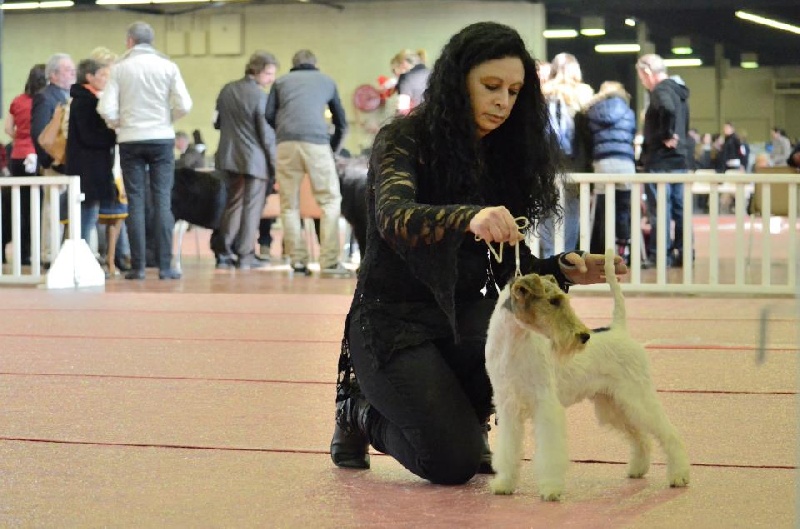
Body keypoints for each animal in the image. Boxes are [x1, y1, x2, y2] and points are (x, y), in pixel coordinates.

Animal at [484, 252, 692, 500]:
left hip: (637, 398)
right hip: (613, 405)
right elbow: (508, 449)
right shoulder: (508, 407)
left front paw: (551, 488)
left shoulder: (546, 406)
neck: (513, 346)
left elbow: (550, 452)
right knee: (640, 437)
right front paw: (504, 484)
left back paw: (679, 476)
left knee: (669, 434)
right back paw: (637, 469)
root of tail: (618, 329)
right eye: (553, 301)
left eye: (562, 299)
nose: (584, 336)